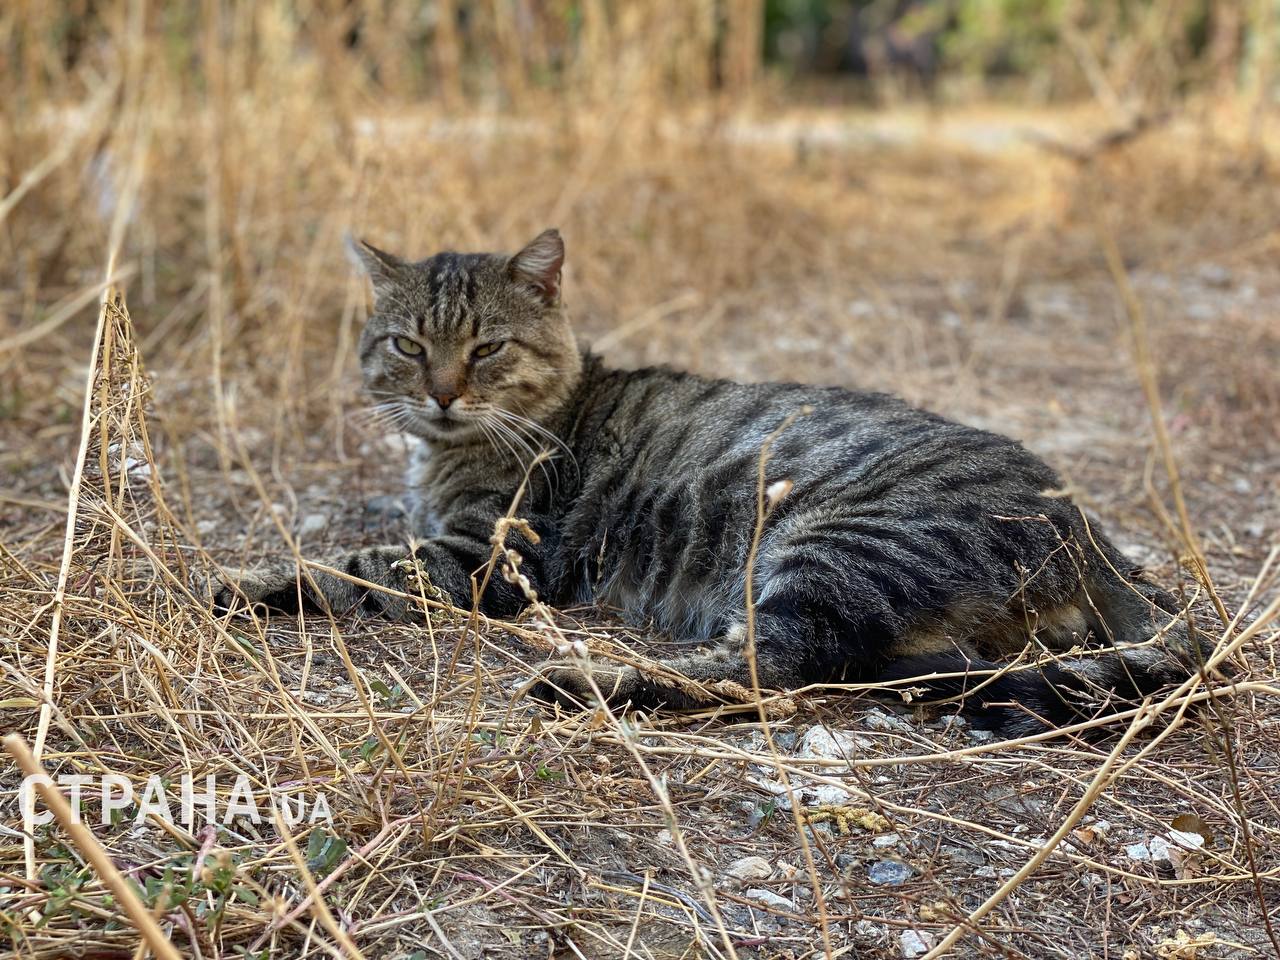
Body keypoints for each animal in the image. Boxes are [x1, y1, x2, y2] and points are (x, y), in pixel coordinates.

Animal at [204, 227, 1203, 737]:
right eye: (409, 347)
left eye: (486, 349)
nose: (442, 394)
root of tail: (1086, 524)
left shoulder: (487, 555)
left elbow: (346, 564)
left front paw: (241, 576)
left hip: (833, 546)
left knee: (777, 670)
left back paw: (591, 679)